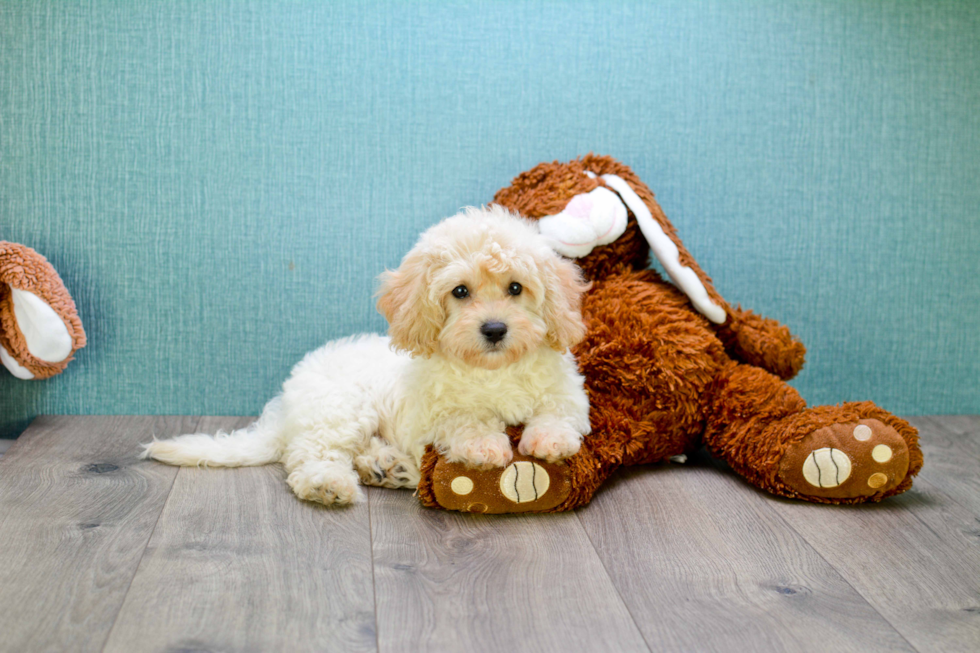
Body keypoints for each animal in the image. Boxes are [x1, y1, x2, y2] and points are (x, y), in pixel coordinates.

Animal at [143, 204, 592, 504]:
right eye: (460, 291)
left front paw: (550, 438)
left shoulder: (567, 391)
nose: (495, 329)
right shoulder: (430, 415)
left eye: (516, 288)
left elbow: (559, 410)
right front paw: (483, 443)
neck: (492, 369)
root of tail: (284, 407)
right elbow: (462, 418)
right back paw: (331, 483)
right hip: (339, 410)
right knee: (309, 455)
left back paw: (388, 467)